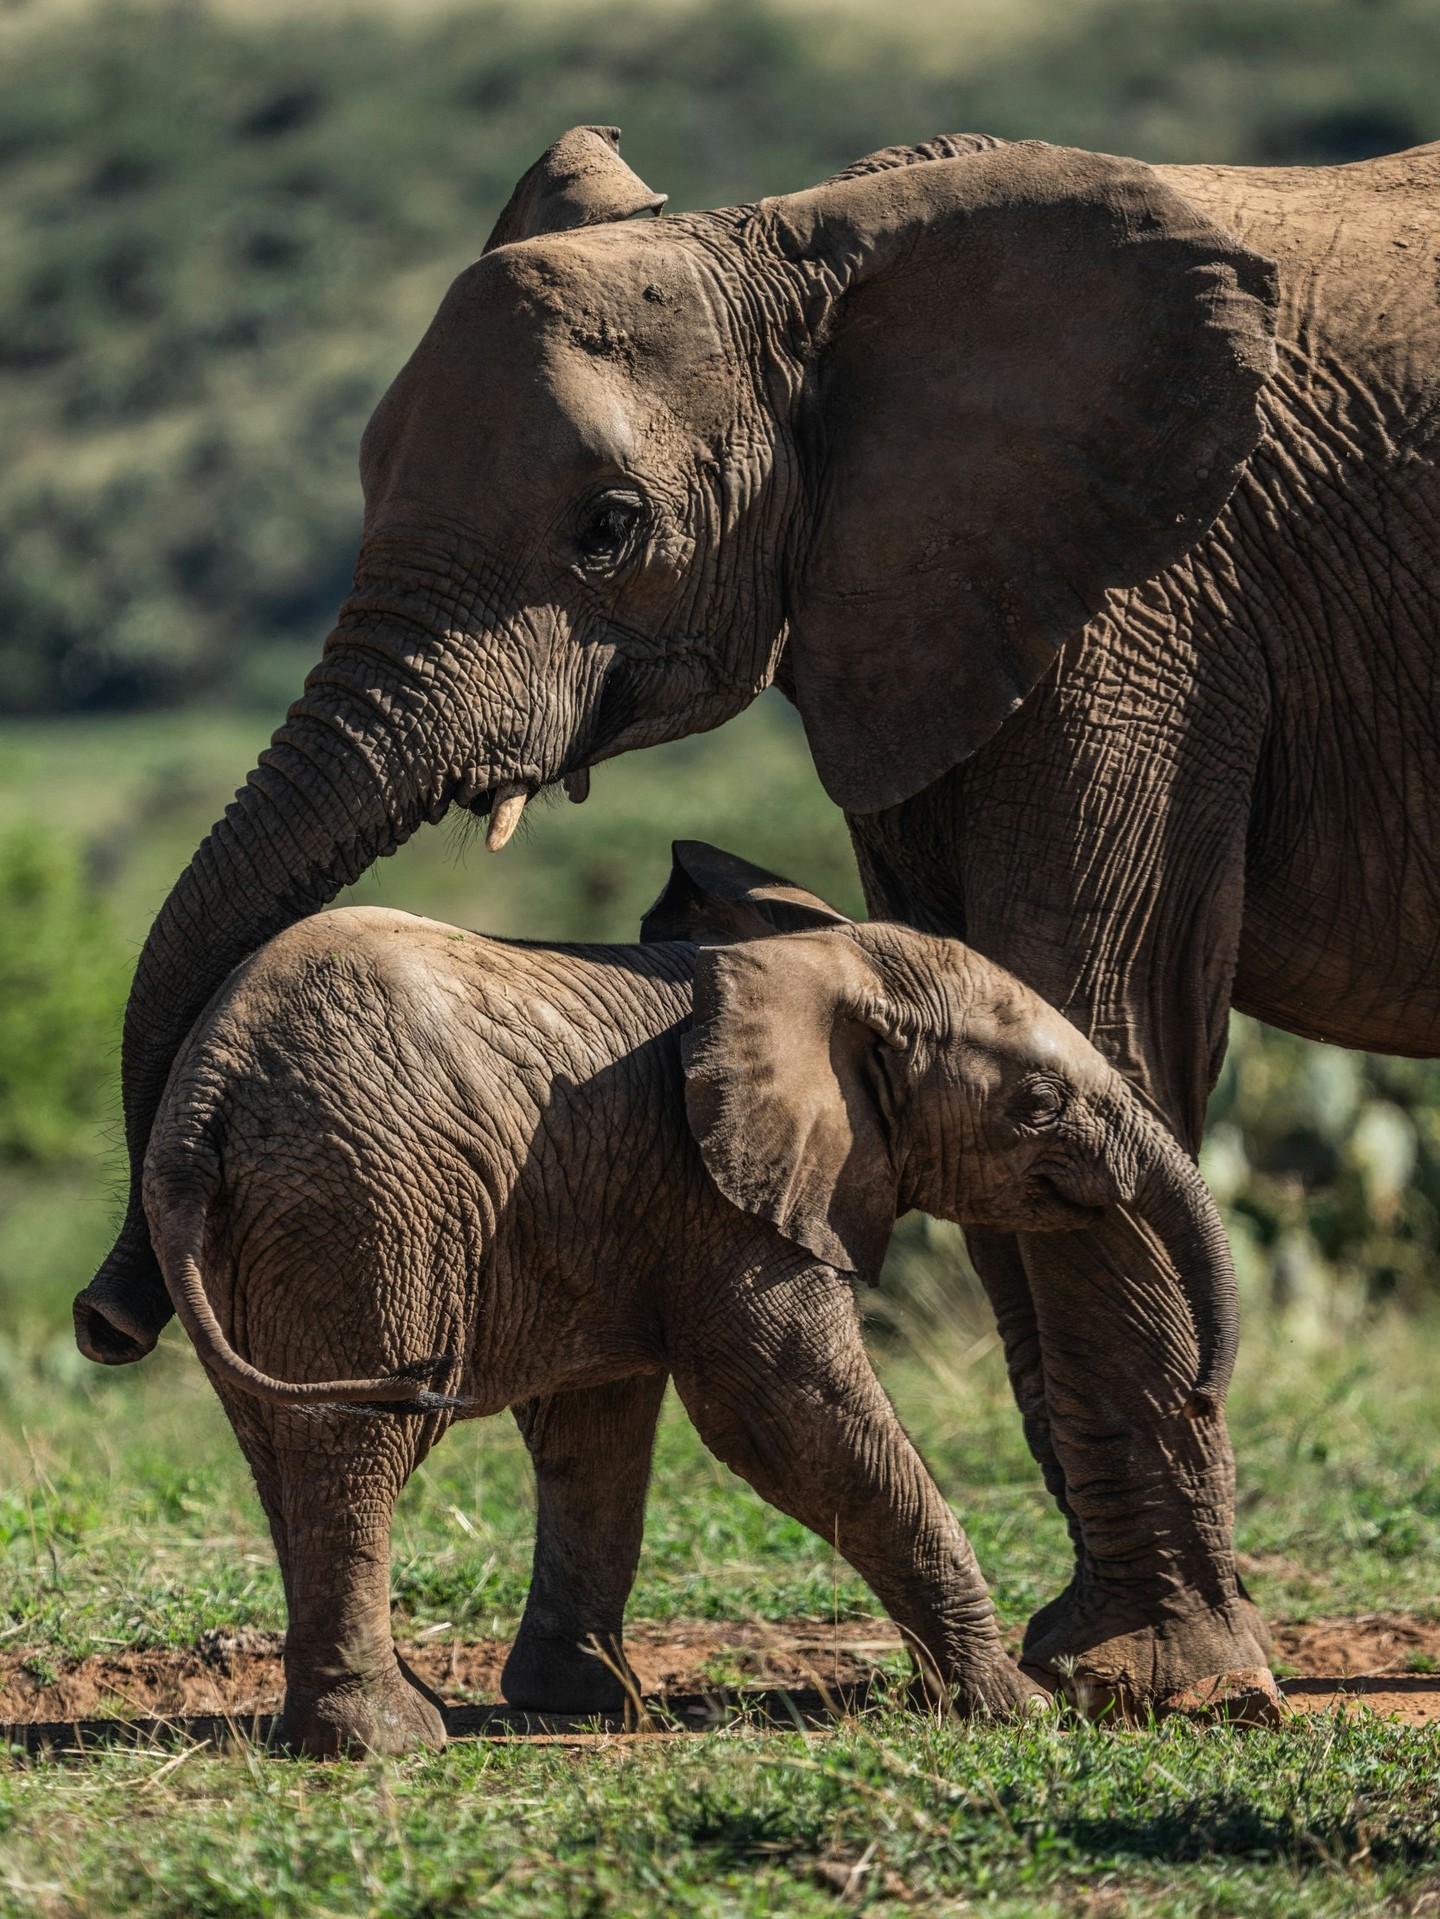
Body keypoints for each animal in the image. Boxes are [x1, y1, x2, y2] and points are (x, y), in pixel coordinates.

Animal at [142, 841, 1246, 1753]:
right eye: (1038, 1105)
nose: (1201, 1390)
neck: (822, 964)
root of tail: (206, 1098)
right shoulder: (718, 1190)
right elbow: (785, 1413)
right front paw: (1018, 1707)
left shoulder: (616, 1195)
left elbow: (597, 1430)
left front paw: (590, 1703)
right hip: (362, 1208)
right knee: (357, 1443)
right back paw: (388, 1741)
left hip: (259, 1229)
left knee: (285, 1453)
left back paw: (358, 1722)